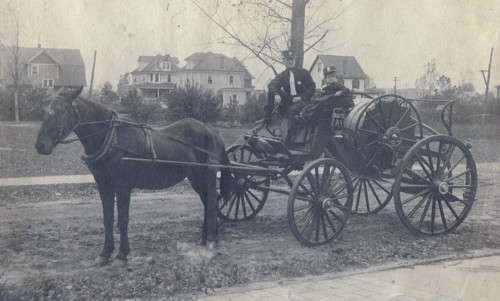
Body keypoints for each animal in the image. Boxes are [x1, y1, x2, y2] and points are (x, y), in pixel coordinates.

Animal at [35, 86, 230, 264]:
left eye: (60, 112)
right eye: (45, 112)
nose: (40, 146)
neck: (111, 137)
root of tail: (210, 130)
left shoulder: (123, 185)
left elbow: (122, 219)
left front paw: (122, 254)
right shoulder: (103, 185)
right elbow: (107, 218)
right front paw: (105, 252)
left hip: (204, 175)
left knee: (212, 201)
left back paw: (212, 240)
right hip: (195, 178)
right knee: (207, 202)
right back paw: (205, 238)